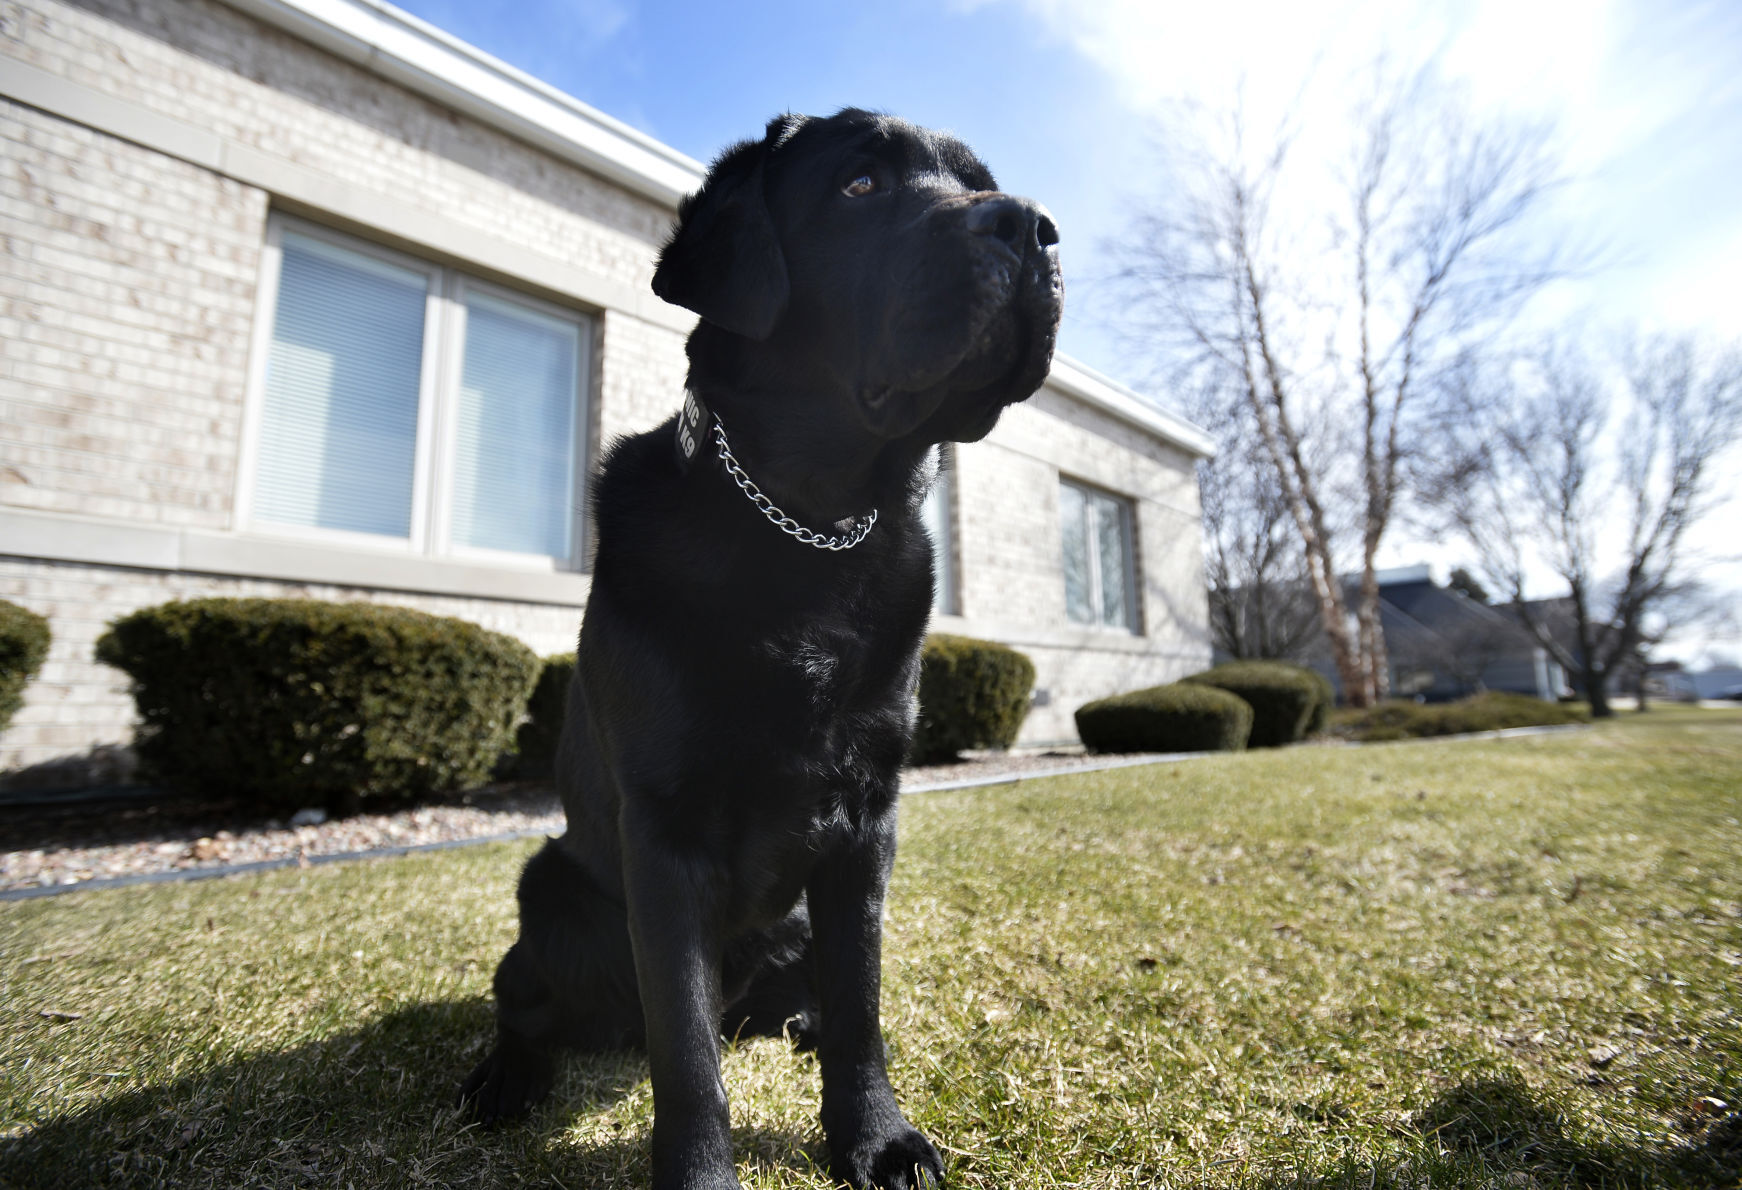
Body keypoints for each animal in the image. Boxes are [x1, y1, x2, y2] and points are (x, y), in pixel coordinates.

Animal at [463, 107, 1059, 1184]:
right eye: (859, 185)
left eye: (977, 179)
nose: (1032, 226)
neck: (809, 526)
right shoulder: (663, 836)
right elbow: (686, 1052)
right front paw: (702, 1173)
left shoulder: (865, 826)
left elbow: (862, 1002)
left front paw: (874, 1137)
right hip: (550, 894)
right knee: (527, 1008)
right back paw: (503, 1082)